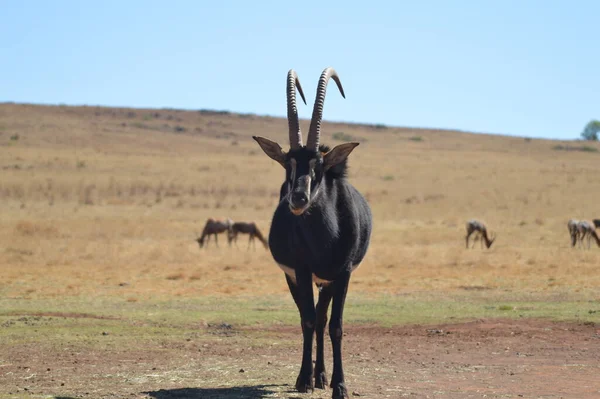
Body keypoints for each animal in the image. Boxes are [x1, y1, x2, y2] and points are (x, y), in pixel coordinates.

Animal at [252, 67, 372, 398]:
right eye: (287, 163)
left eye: (319, 163)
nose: (298, 199)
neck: (325, 239)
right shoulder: (302, 272)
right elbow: (306, 320)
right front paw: (304, 379)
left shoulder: (343, 273)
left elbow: (336, 326)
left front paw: (340, 385)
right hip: (298, 278)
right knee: (312, 319)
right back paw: (315, 375)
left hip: (328, 282)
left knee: (323, 319)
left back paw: (324, 376)